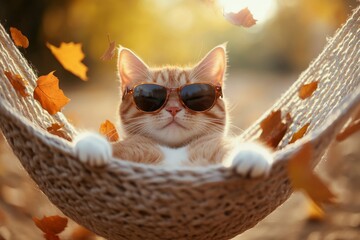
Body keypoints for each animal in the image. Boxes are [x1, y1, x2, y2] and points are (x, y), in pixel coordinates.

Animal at [74, 44, 272, 178]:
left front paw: (251, 155)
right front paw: (92, 144)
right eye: (150, 96)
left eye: (196, 96)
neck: (174, 149)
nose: (173, 108)